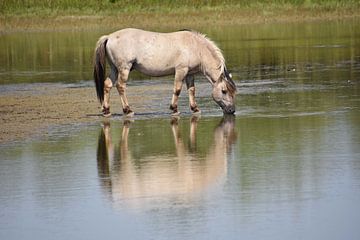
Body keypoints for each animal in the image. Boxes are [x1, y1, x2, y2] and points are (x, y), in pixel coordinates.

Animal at [92, 28, 236, 116]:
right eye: (224, 91)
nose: (232, 110)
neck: (196, 46)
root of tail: (109, 37)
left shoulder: (189, 73)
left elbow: (192, 90)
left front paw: (195, 108)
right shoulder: (181, 70)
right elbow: (177, 89)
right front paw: (174, 109)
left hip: (114, 69)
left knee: (107, 85)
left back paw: (106, 110)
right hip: (124, 69)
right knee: (120, 86)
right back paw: (128, 110)